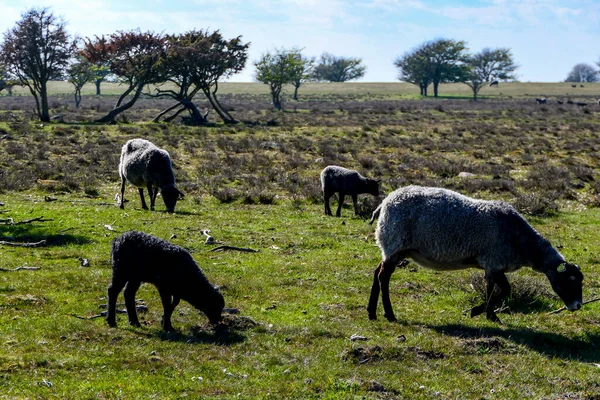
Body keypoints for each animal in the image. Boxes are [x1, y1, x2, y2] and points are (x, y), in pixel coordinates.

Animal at [368, 186, 584, 324]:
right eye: (569, 281)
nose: (578, 306)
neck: (522, 242)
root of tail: (384, 204)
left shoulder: (491, 266)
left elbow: (490, 289)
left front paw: (489, 315)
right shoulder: (494, 261)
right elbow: (505, 290)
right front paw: (479, 311)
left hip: (393, 247)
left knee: (377, 272)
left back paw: (371, 312)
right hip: (395, 242)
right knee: (383, 277)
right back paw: (389, 314)